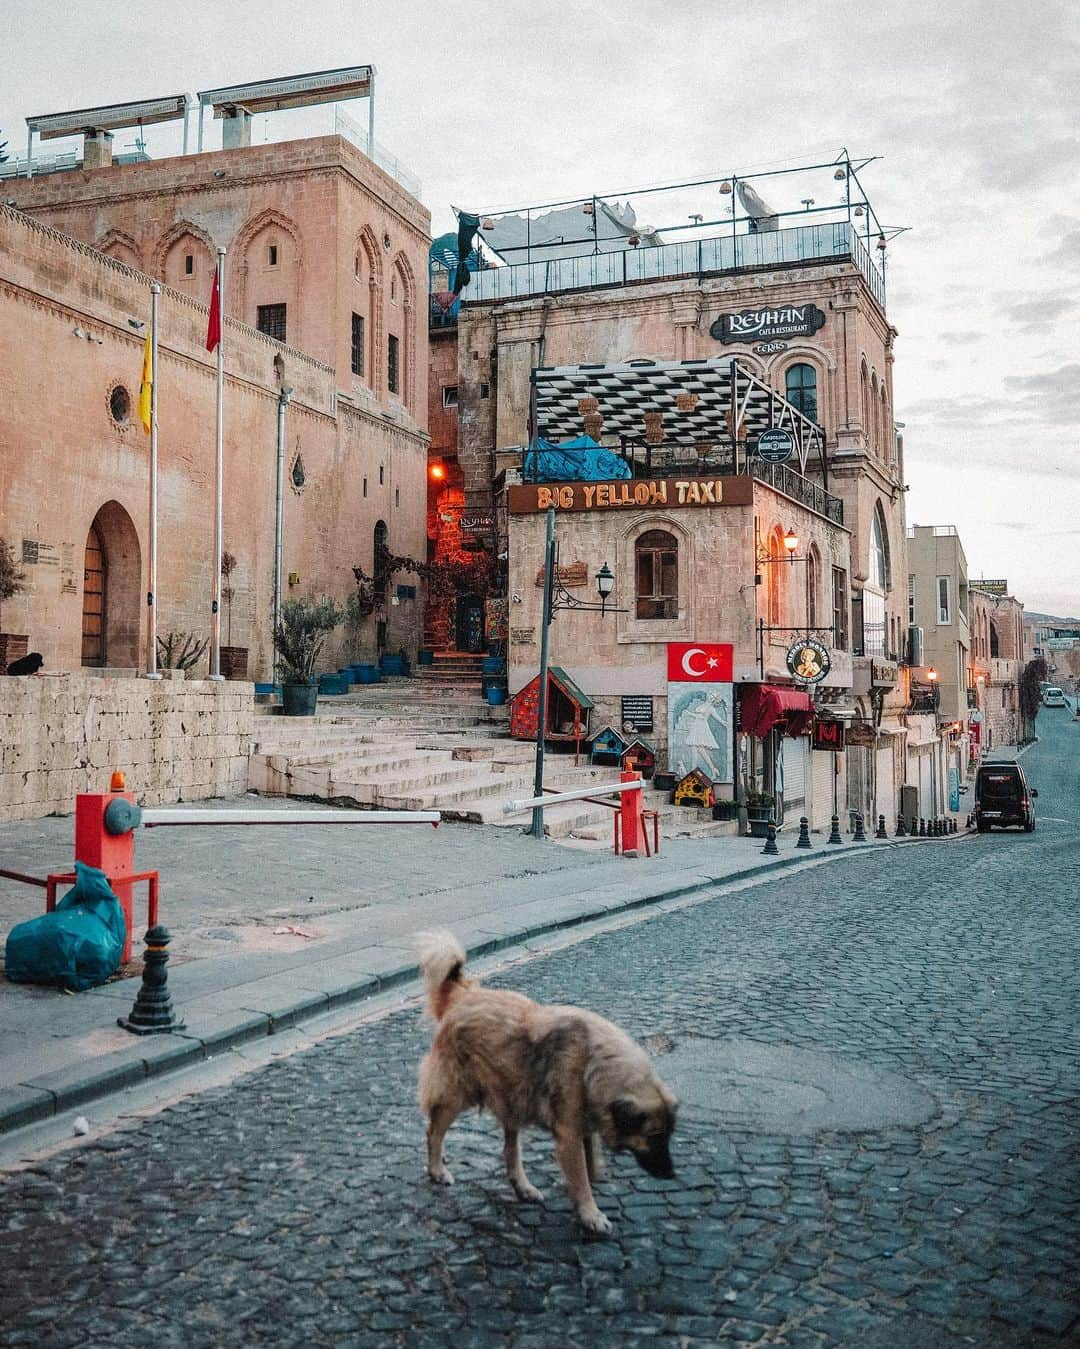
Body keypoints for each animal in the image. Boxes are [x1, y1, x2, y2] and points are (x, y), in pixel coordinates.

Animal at [415, 928, 674, 1235]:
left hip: (513, 1093)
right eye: (654, 1136)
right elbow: (581, 1176)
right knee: (434, 1132)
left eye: (669, 1135)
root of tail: (462, 995)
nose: (671, 1174)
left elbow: (589, 1165)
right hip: (457, 1094)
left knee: (510, 1150)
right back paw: (437, 1170)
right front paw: (590, 1212)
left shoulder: (583, 1125)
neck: (595, 1063)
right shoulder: (569, 1134)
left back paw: (523, 1187)